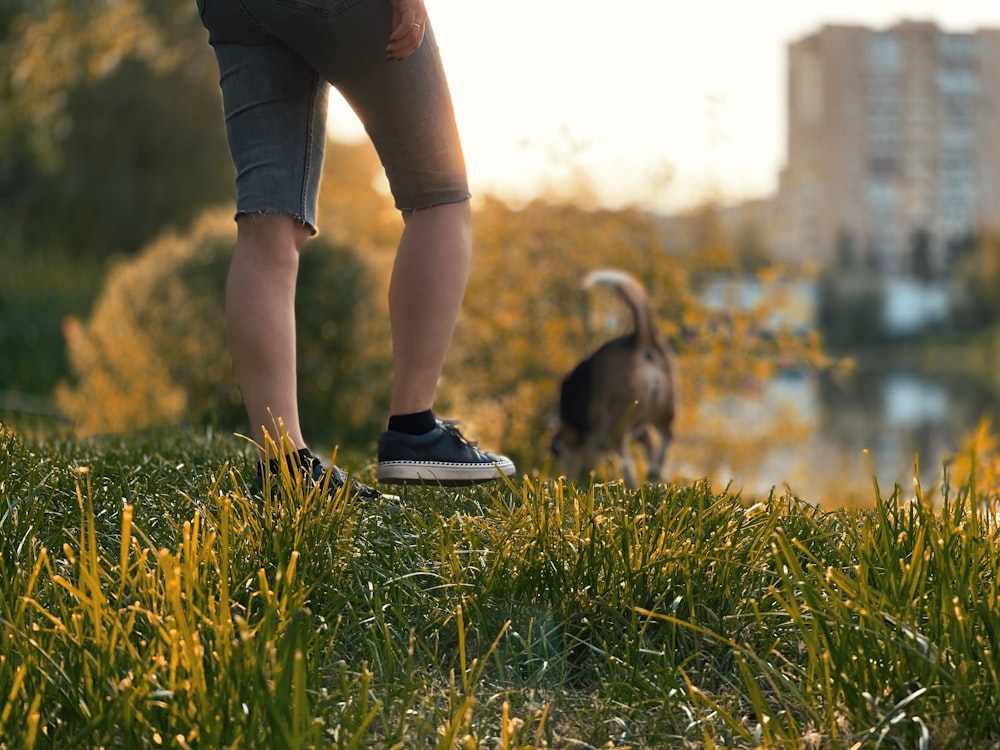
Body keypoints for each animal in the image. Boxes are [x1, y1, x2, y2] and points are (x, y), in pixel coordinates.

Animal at [552, 270, 676, 488]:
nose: (567, 477)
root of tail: (638, 339)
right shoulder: (641, 430)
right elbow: (649, 448)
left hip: (616, 420)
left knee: (625, 455)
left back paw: (630, 482)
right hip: (664, 411)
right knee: (666, 438)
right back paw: (654, 470)